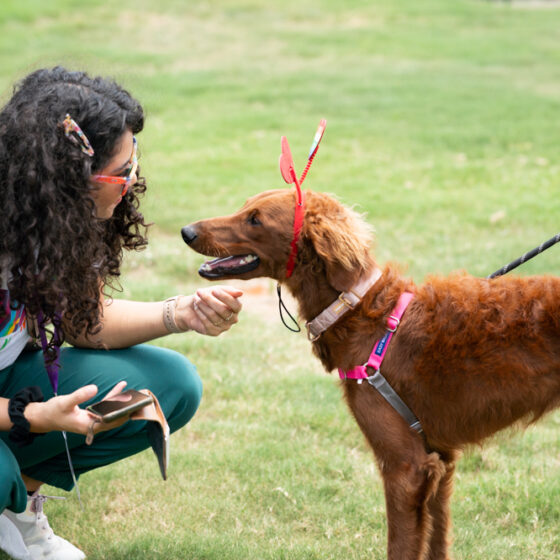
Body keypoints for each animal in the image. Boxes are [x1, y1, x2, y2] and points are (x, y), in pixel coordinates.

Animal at [182, 189, 560, 560]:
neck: (363, 313)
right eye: (245, 207)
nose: (187, 231)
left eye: (256, 219)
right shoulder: (440, 462)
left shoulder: (406, 467)